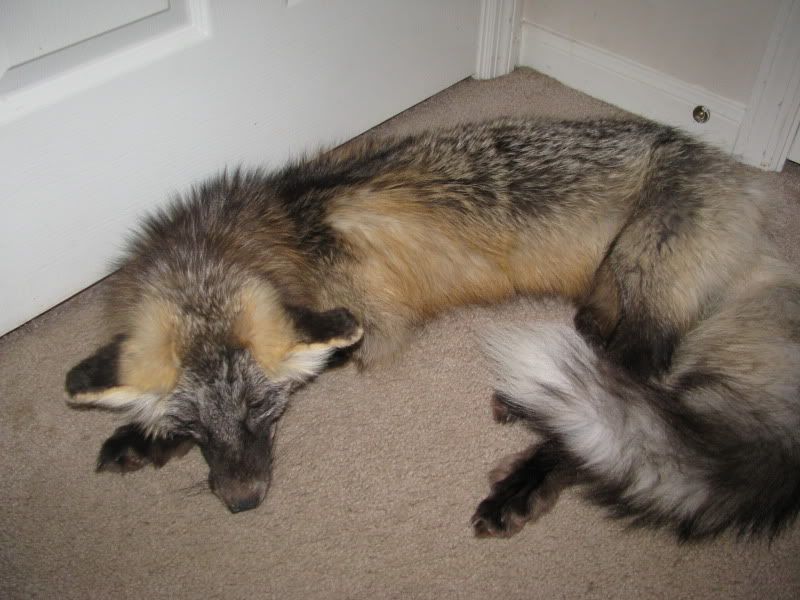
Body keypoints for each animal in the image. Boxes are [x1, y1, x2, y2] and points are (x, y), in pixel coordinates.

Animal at [64, 118, 800, 537]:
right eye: (194, 423)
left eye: (265, 410)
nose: (245, 503)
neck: (284, 235)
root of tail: (751, 193)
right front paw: (140, 435)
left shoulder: (363, 324)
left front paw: (141, 437)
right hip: (606, 291)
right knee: (593, 353)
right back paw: (527, 399)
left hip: (646, 297)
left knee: (615, 413)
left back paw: (524, 484)